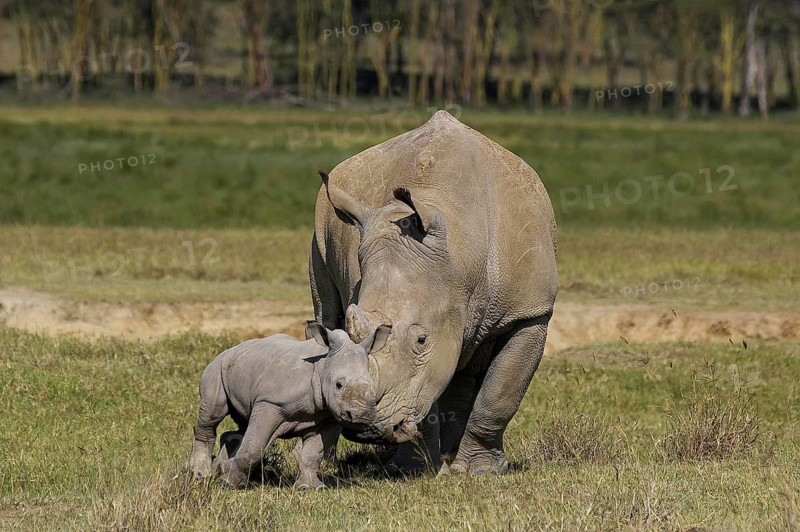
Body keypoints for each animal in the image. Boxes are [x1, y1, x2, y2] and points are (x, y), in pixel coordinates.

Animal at [185, 321, 390, 489]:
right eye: (339, 385)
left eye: (373, 386)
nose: (361, 416)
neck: (322, 367)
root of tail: (230, 349)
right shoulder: (269, 402)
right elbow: (253, 447)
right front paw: (229, 483)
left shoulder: (329, 416)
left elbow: (313, 454)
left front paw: (310, 487)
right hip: (216, 367)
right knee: (213, 415)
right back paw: (200, 474)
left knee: (242, 423)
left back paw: (219, 467)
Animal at [309, 110, 557, 475]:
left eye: (421, 340)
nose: (362, 426)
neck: (462, 260)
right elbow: (425, 394)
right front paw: (414, 470)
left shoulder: (529, 312)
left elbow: (500, 393)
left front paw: (480, 471)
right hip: (320, 232)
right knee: (324, 313)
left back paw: (452, 458)